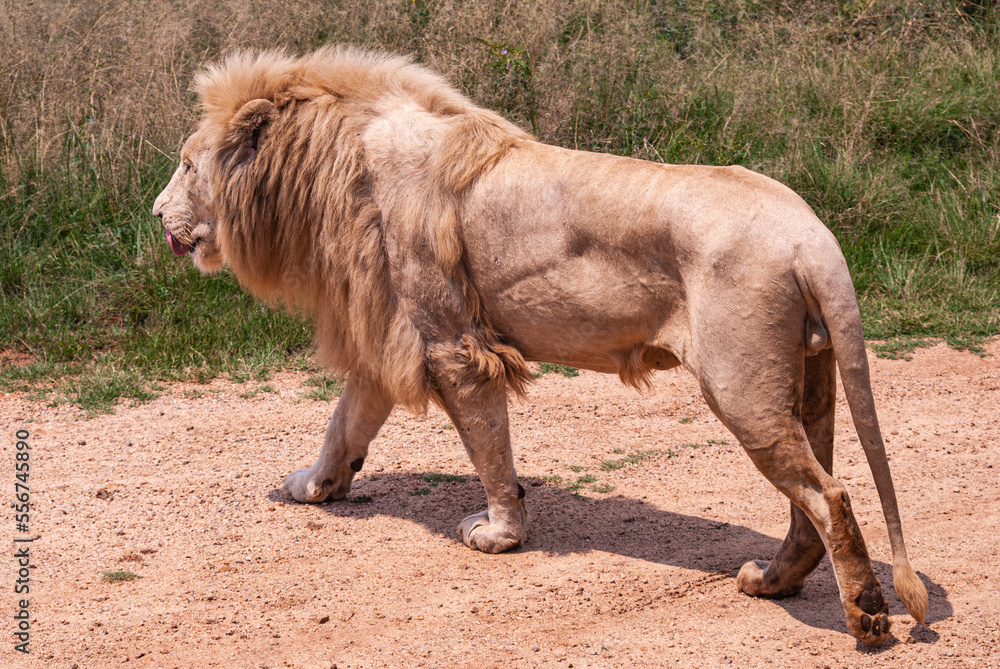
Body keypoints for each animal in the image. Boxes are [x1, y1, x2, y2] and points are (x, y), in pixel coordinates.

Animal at [153, 46, 928, 644]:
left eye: (188, 166)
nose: (157, 214)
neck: (335, 164)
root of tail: (812, 235)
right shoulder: (394, 333)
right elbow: (345, 424)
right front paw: (315, 487)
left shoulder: (450, 342)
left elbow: (488, 445)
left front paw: (499, 533)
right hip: (810, 376)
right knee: (814, 495)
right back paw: (770, 581)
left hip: (742, 386)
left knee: (830, 495)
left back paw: (865, 617)